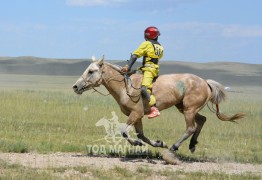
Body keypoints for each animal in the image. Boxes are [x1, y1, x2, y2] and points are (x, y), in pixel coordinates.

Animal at [72, 56, 245, 153]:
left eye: (91, 71)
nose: (75, 86)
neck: (125, 87)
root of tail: (205, 82)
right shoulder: (137, 116)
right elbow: (141, 134)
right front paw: (158, 143)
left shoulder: (135, 114)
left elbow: (124, 132)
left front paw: (138, 143)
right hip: (184, 107)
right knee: (202, 120)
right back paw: (192, 145)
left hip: (189, 110)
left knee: (191, 127)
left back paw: (175, 146)